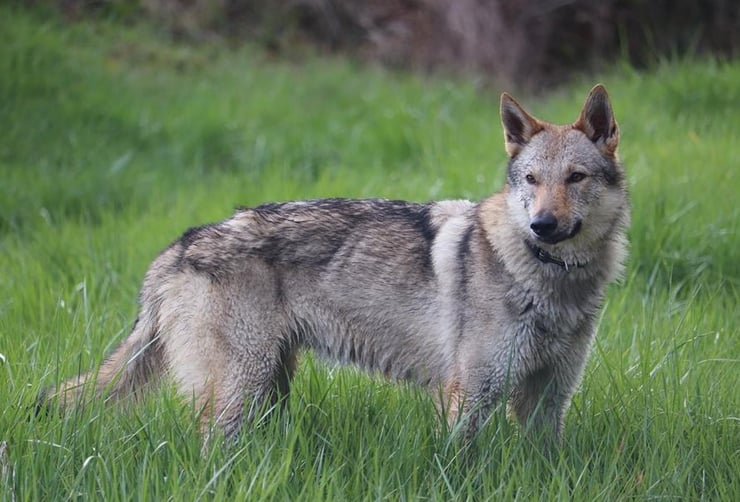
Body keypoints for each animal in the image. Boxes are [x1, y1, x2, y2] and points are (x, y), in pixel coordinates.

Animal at [45, 85, 629, 447]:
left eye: (575, 177)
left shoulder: (547, 402)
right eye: (531, 180)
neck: (550, 279)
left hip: (269, 389)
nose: (542, 226)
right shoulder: (467, 398)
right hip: (239, 393)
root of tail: (180, 247)